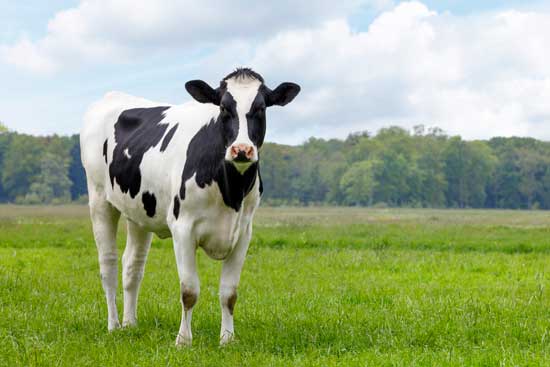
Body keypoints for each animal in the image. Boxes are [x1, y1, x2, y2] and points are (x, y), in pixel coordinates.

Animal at [81, 69, 302, 348]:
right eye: (223, 108)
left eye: (261, 108)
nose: (241, 150)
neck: (230, 190)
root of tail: (112, 95)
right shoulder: (182, 228)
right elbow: (189, 290)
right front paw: (183, 340)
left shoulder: (243, 233)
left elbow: (229, 293)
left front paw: (227, 339)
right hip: (99, 198)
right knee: (108, 263)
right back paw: (113, 325)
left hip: (139, 211)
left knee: (133, 265)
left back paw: (130, 324)